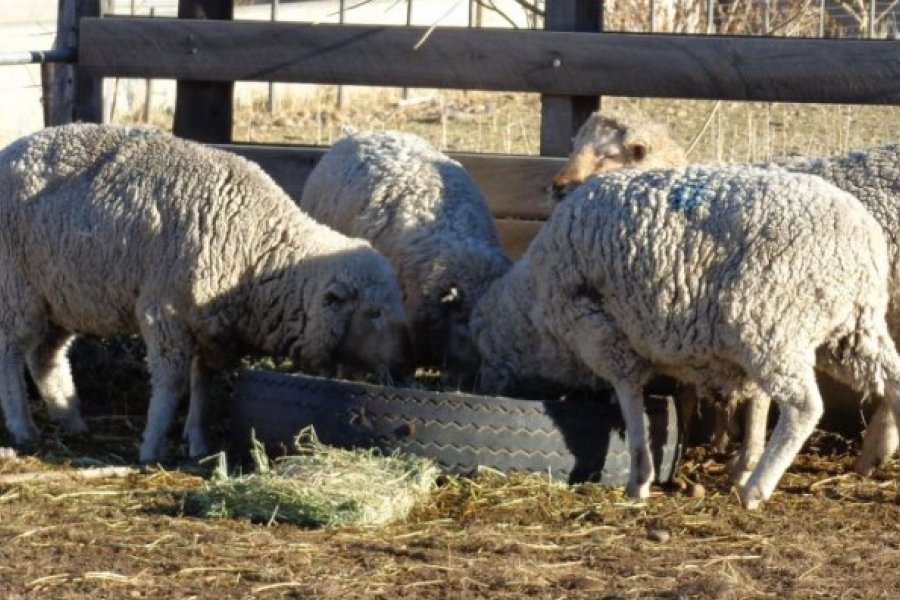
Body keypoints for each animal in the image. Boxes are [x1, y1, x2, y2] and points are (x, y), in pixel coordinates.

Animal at [0, 123, 412, 464]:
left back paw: (70, 419)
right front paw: (152, 447)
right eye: (373, 313)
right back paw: (23, 426)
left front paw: (198, 443)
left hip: (60, 297)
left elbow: (204, 386)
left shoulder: (213, 326)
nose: (405, 365)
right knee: (11, 353)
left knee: (45, 357)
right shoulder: (166, 313)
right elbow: (171, 385)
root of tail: (11, 150)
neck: (257, 250)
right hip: (16, 291)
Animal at [472, 165, 900, 510]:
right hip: (852, 332)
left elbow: (632, 405)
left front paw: (639, 480)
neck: (532, 305)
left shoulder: (603, 336)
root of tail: (862, 240)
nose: (480, 388)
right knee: (893, 382)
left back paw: (756, 490)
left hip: (772, 325)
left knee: (803, 408)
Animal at [548, 110, 900, 478]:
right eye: (575, 147)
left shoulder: (761, 314)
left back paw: (873, 451)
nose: (557, 187)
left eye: (609, 154)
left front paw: (745, 461)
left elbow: (757, 397)